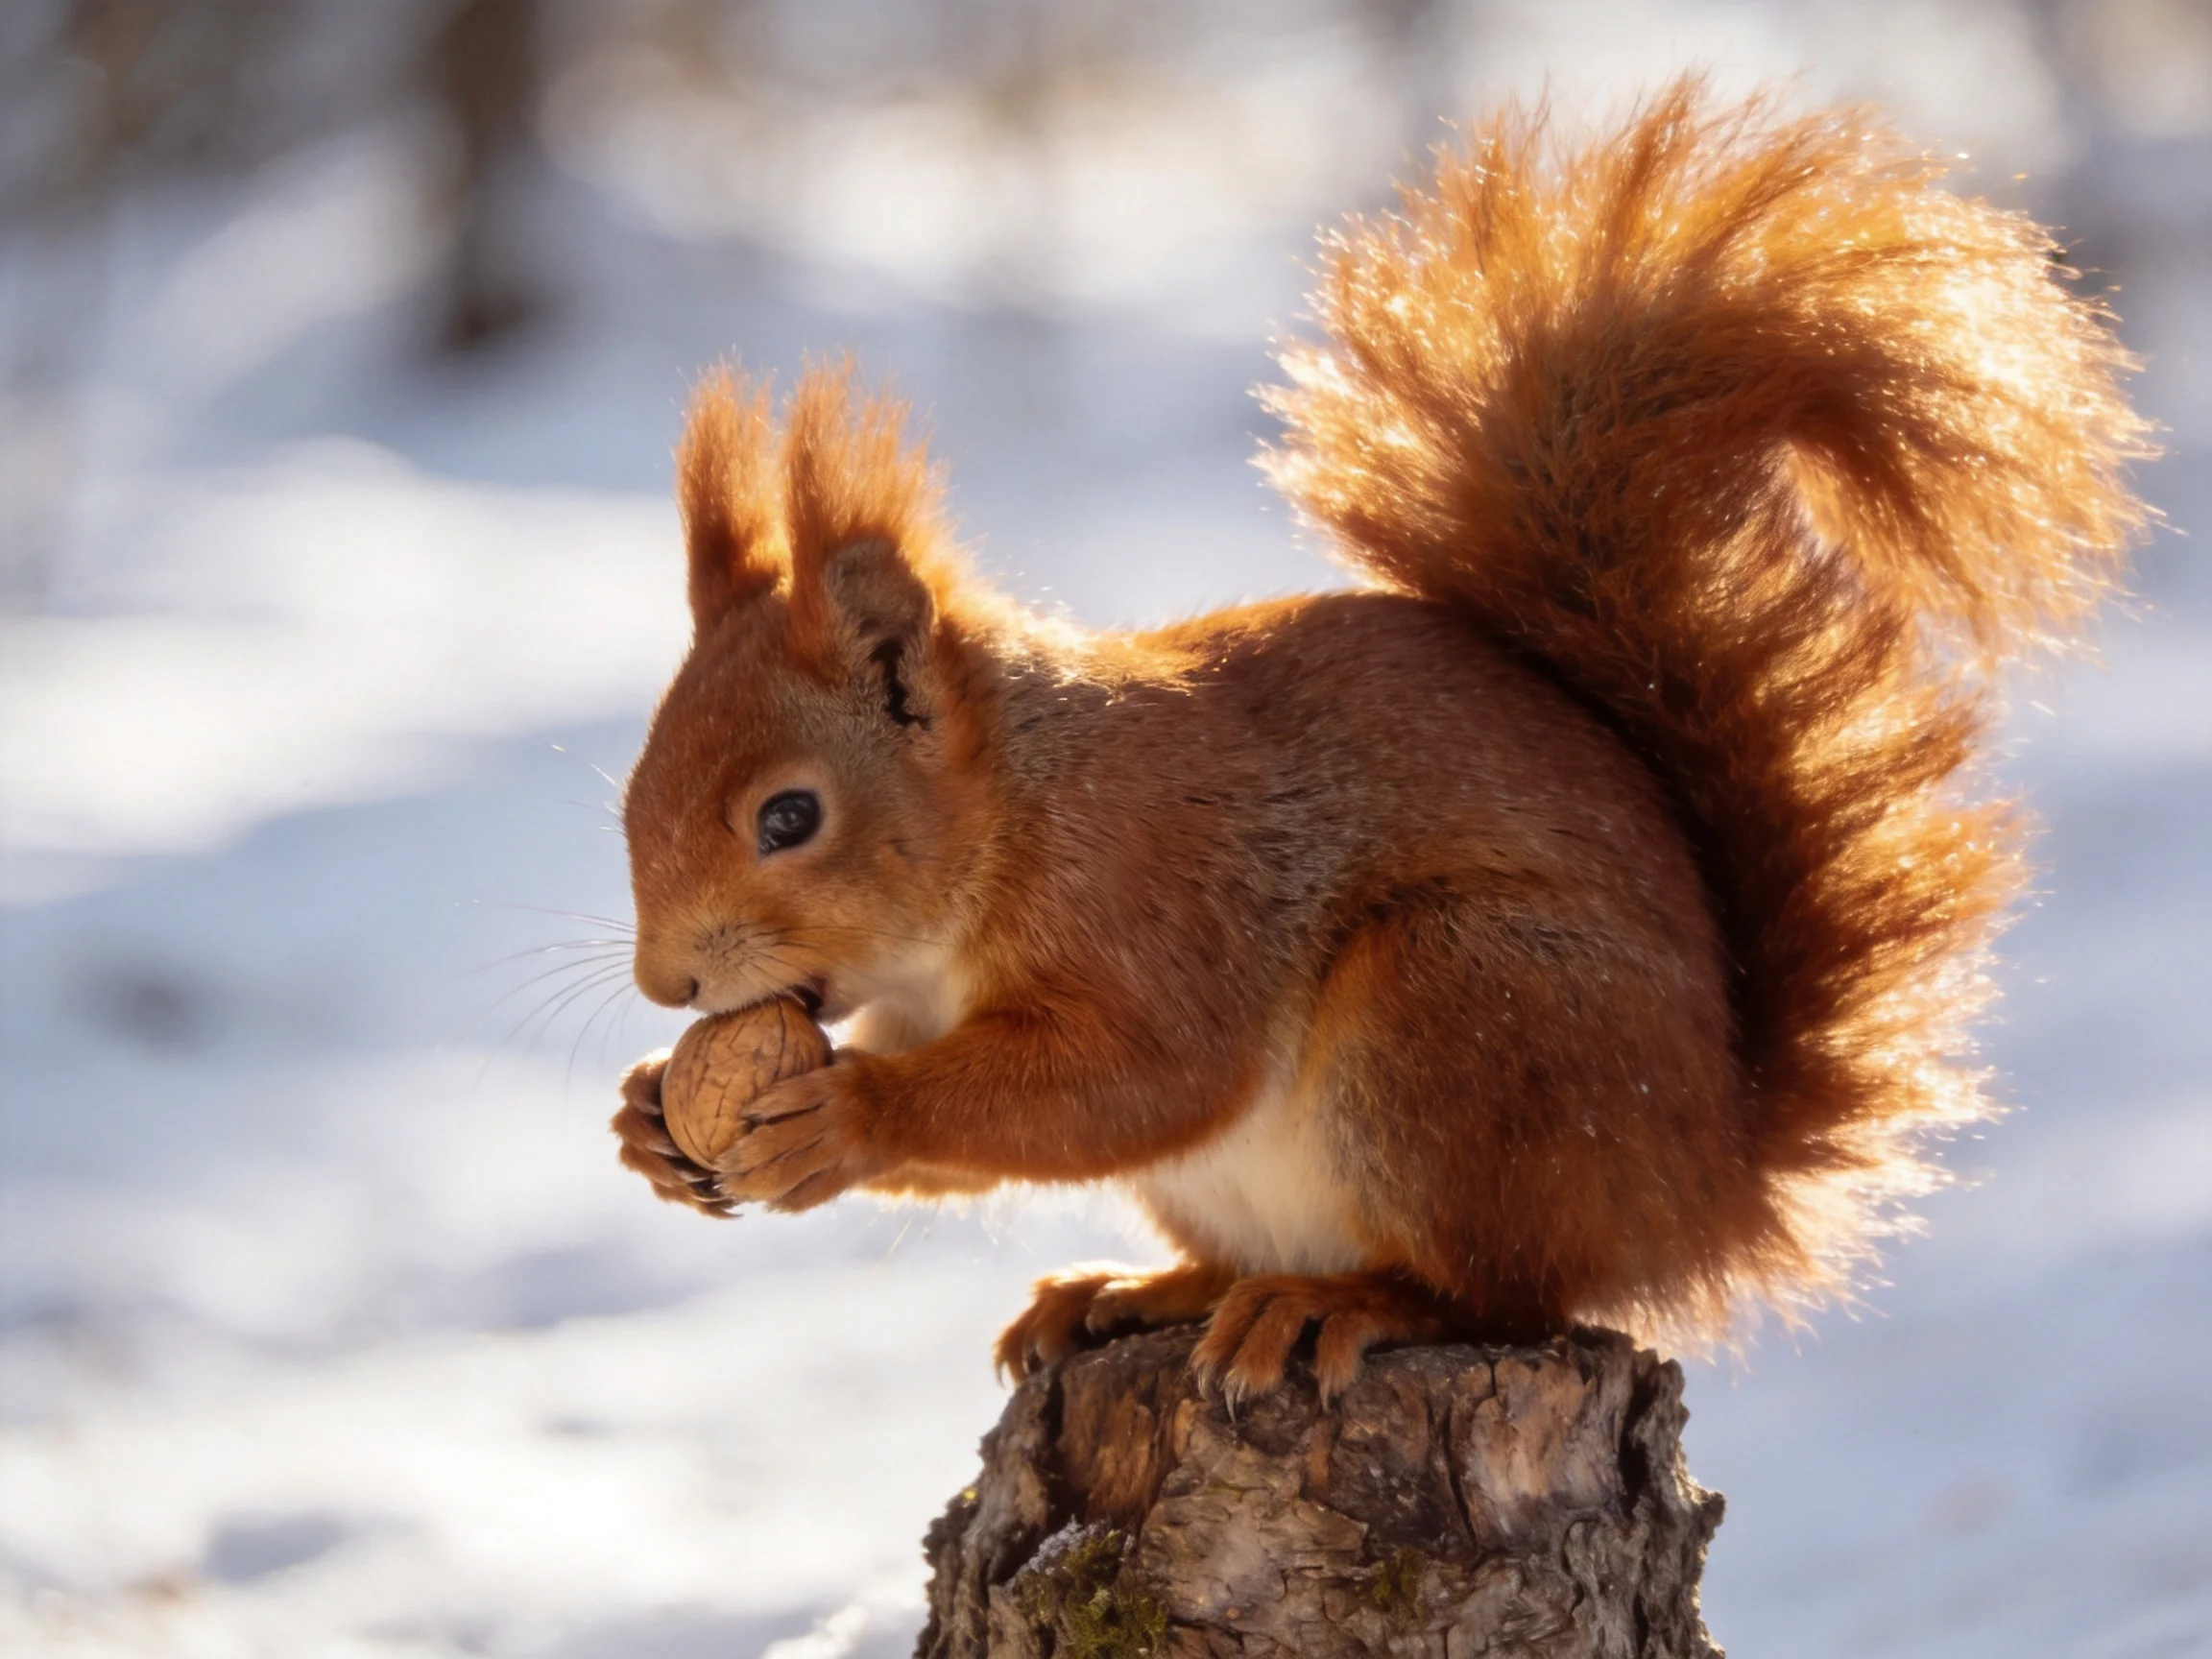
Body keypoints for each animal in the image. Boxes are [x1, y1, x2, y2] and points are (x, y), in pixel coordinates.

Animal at [608, 81, 2149, 1401]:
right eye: (629, 798)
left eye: (789, 818)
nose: (665, 987)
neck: (1014, 815)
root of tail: (1709, 1192)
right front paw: (645, 1121)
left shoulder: (1162, 890)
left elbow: (1141, 1075)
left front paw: (850, 1115)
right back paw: (1135, 1292)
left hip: (1459, 1014)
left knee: (1502, 1295)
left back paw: (1340, 1303)